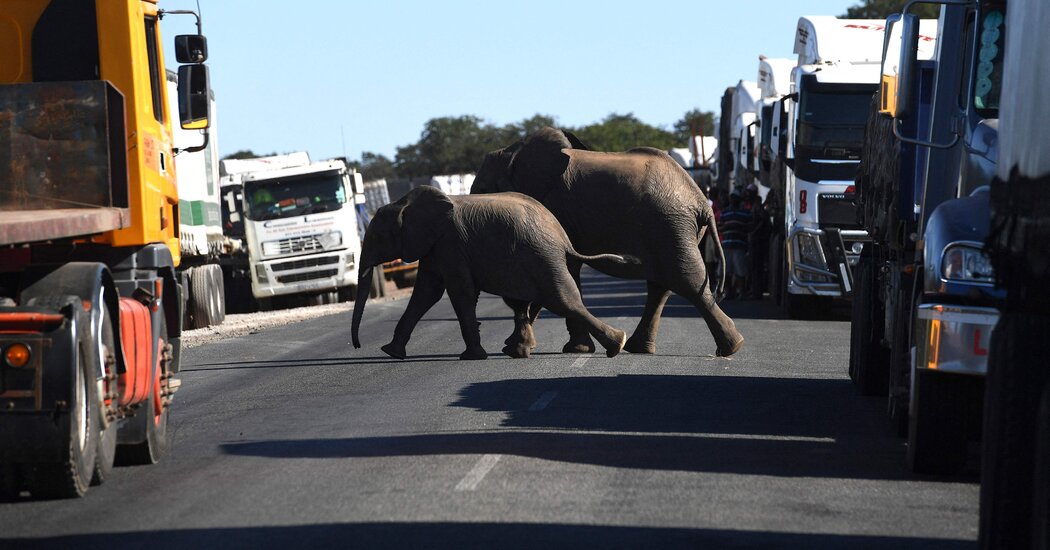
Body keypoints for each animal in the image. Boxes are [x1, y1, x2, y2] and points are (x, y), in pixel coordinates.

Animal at [352, 185, 630, 361]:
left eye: (377, 238)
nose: (356, 345)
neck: (405, 204)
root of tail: (563, 237)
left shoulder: (450, 243)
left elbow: (459, 291)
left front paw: (472, 357)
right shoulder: (434, 246)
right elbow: (426, 293)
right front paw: (391, 352)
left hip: (541, 257)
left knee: (563, 301)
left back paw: (618, 344)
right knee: (531, 303)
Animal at [472, 127, 743, 356]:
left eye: (484, 189)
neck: (513, 153)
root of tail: (701, 200)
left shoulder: (555, 207)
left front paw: (566, 349)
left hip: (670, 224)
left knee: (686, 280)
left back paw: (732, 347)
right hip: (672, 230)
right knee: (663, 285)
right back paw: (642, 348)